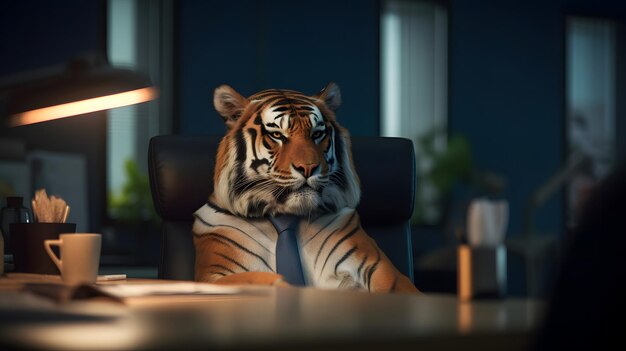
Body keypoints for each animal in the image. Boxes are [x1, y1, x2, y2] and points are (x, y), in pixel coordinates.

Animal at [193, 83, 416, 294]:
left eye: (317, 134)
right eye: (277, 135)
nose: (308, 168)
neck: (286, 215)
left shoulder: (380, 268)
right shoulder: (213, 276)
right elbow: (261, 279)